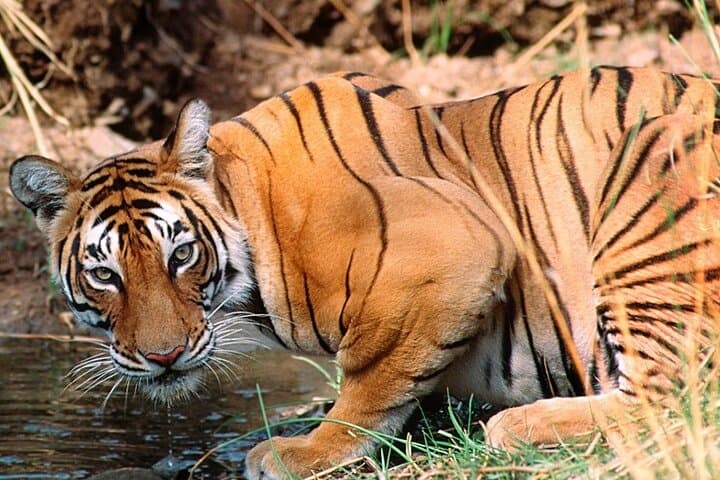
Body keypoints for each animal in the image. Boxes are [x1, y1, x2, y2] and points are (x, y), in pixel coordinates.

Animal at [8, 66, 720, 479]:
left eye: (180, 255)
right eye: (106, 276)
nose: (163, 358)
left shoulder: (459, 245)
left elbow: (372, 376)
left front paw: (304, 450)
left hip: (650, 168)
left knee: (671, 394)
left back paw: (518, 426)